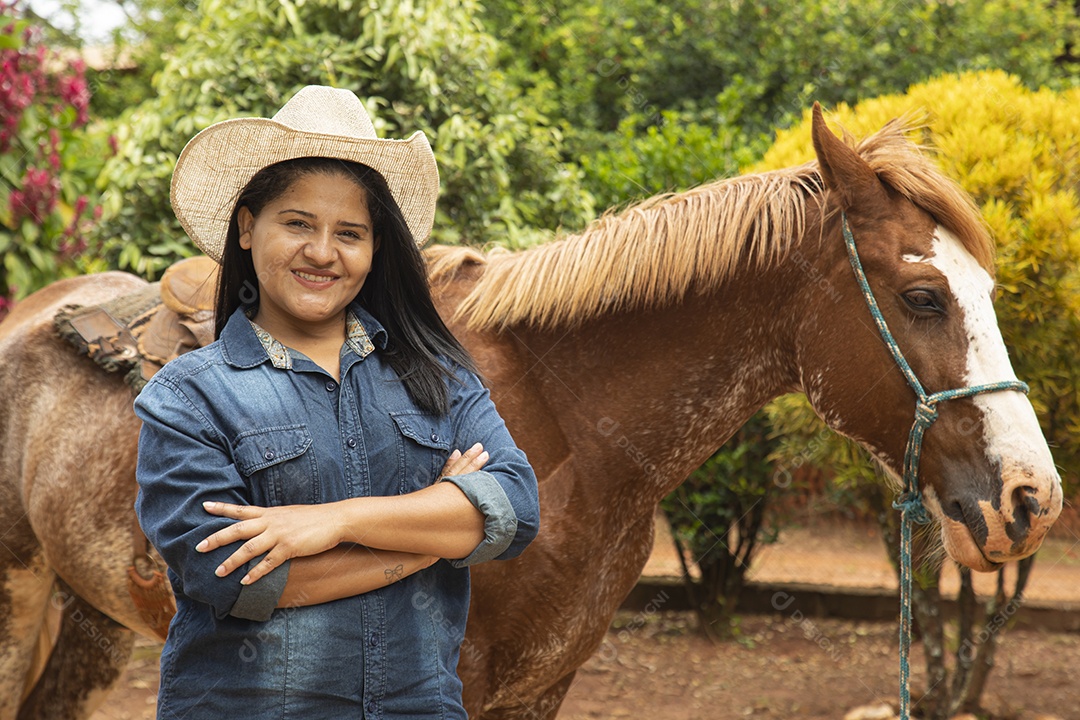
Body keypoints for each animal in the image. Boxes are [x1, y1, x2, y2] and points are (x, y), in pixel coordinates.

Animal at [0, 108, 1058, 720]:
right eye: (923, 297)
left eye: (989, 290)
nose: (1032, 497)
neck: (575, 431)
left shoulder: (542, 687)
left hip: (89, 626)